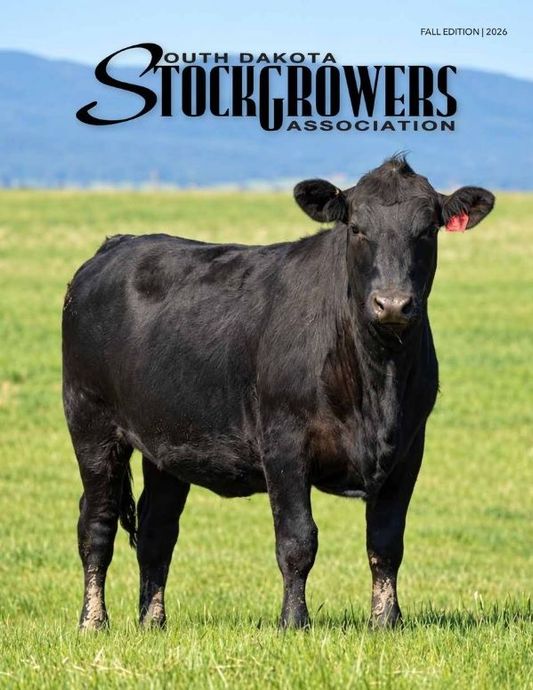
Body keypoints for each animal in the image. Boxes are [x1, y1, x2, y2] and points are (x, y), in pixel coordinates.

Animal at [62, 155, 494, 631]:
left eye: (427, 231)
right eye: (357, 228)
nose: (393, 304)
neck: (378, 381)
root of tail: (114, 246)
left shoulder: (408, 448)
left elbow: (386, 542)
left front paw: (386, 621)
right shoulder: (284, 443)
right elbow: (298, 540)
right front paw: (293, 621)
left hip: (167, 442)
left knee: (157, 529)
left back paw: (153, 622)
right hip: (91, 424)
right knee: (96, 524)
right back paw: (93, 621)